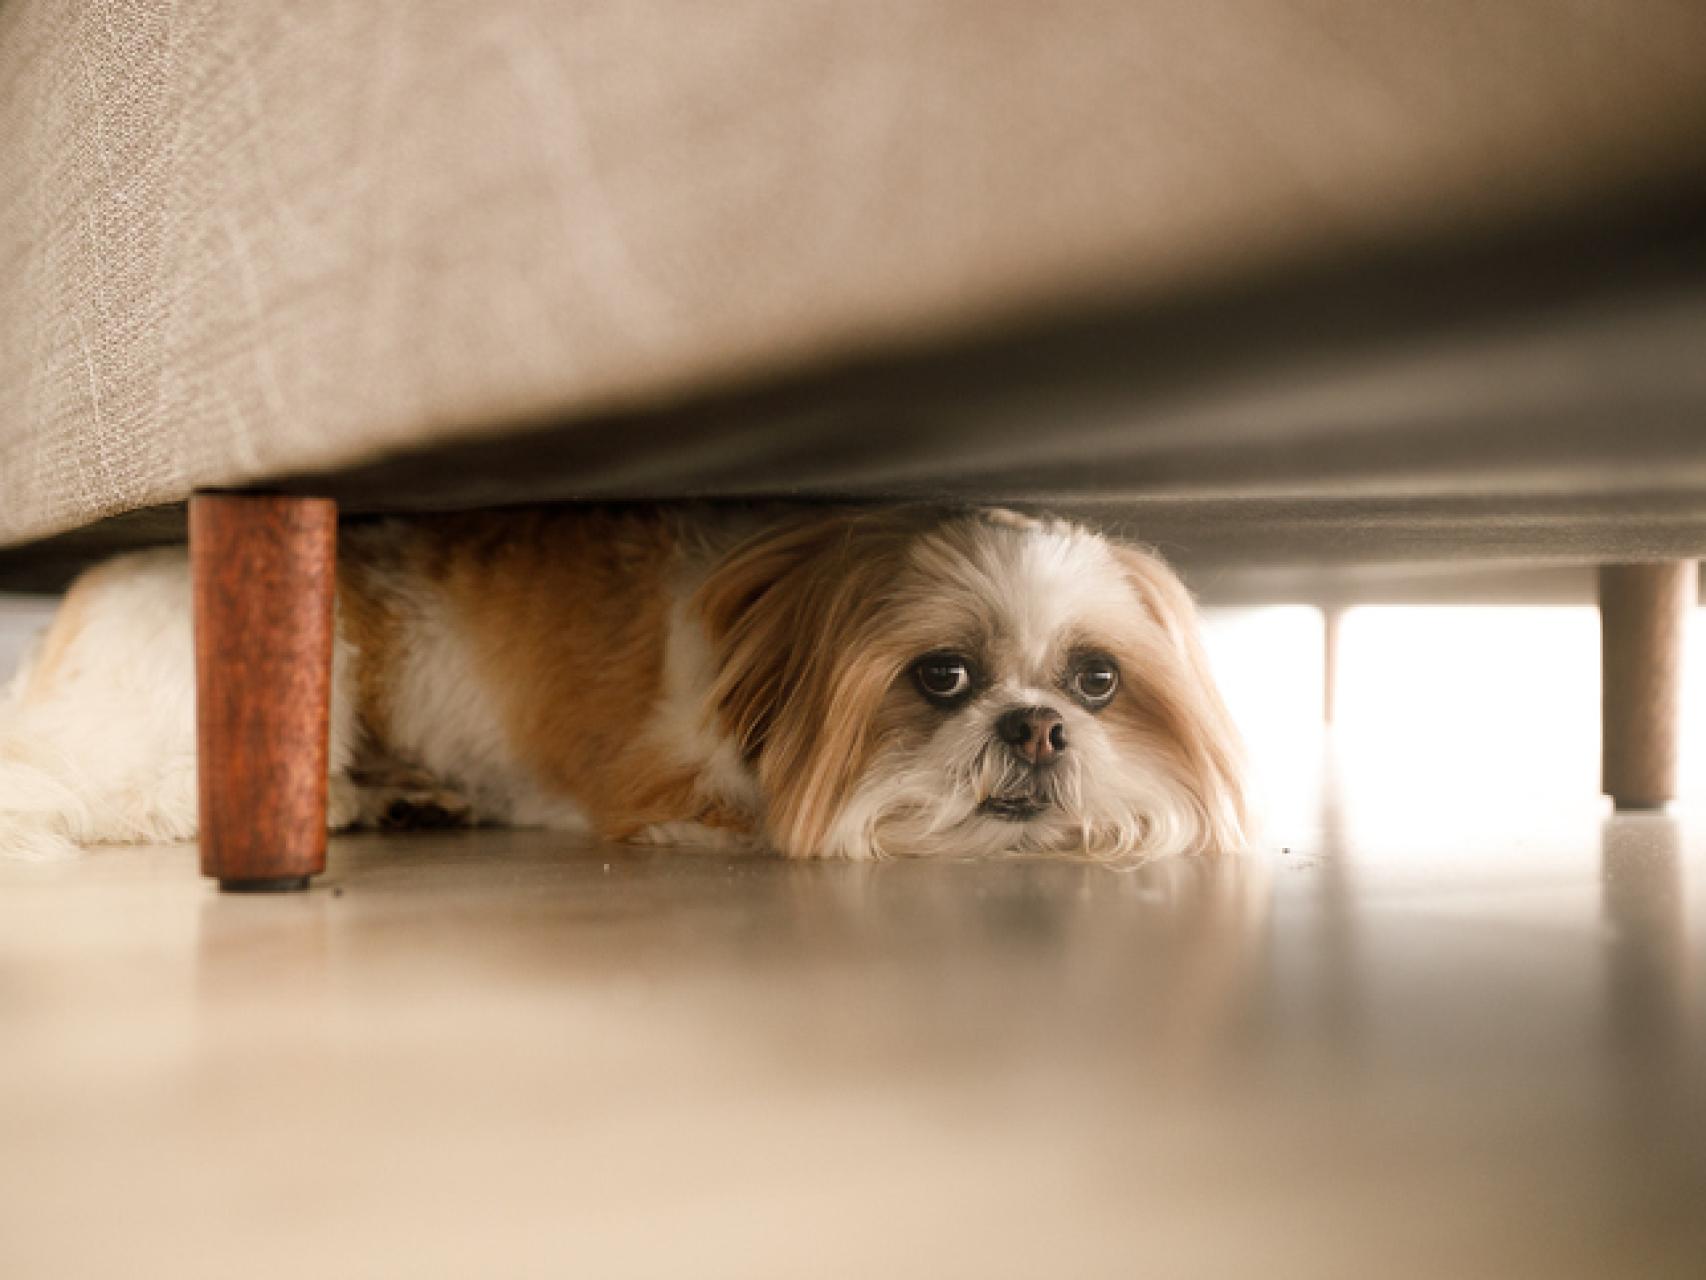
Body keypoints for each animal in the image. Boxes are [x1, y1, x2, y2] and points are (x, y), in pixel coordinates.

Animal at [3, 508, 1255, 863]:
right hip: (270, 687)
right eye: (942, 674)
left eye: (1095, 680)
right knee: (125, 795)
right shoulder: (671, 781)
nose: (1036, 728)